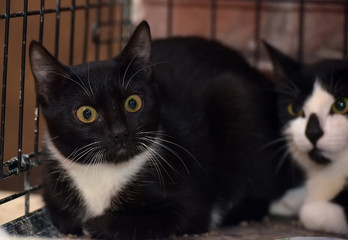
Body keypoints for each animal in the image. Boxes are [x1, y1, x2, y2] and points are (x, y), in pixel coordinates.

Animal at [29, 21, 282, 239]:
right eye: (86, 114)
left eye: (133, 102)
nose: (120, 132)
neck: (104, 171)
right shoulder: (52, 188)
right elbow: (64, 217)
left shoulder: (189, 199)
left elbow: (182, 215)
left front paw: (96, 225)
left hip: (237, 97)